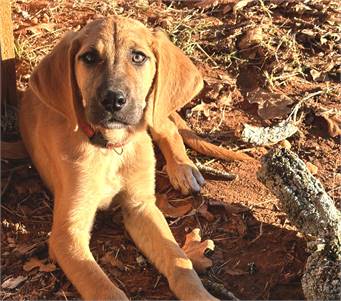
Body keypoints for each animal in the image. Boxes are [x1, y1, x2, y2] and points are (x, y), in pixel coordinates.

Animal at [20, 17, 218, 300]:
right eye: (89, 57)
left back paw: (182, 168)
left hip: (152, 109)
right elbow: (102, 287)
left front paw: (201, 295)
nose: (113, 100)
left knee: (167, 126)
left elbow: (179, 260)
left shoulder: (141, 206)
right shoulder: (67, 233)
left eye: (138, 56)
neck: (110, 149)